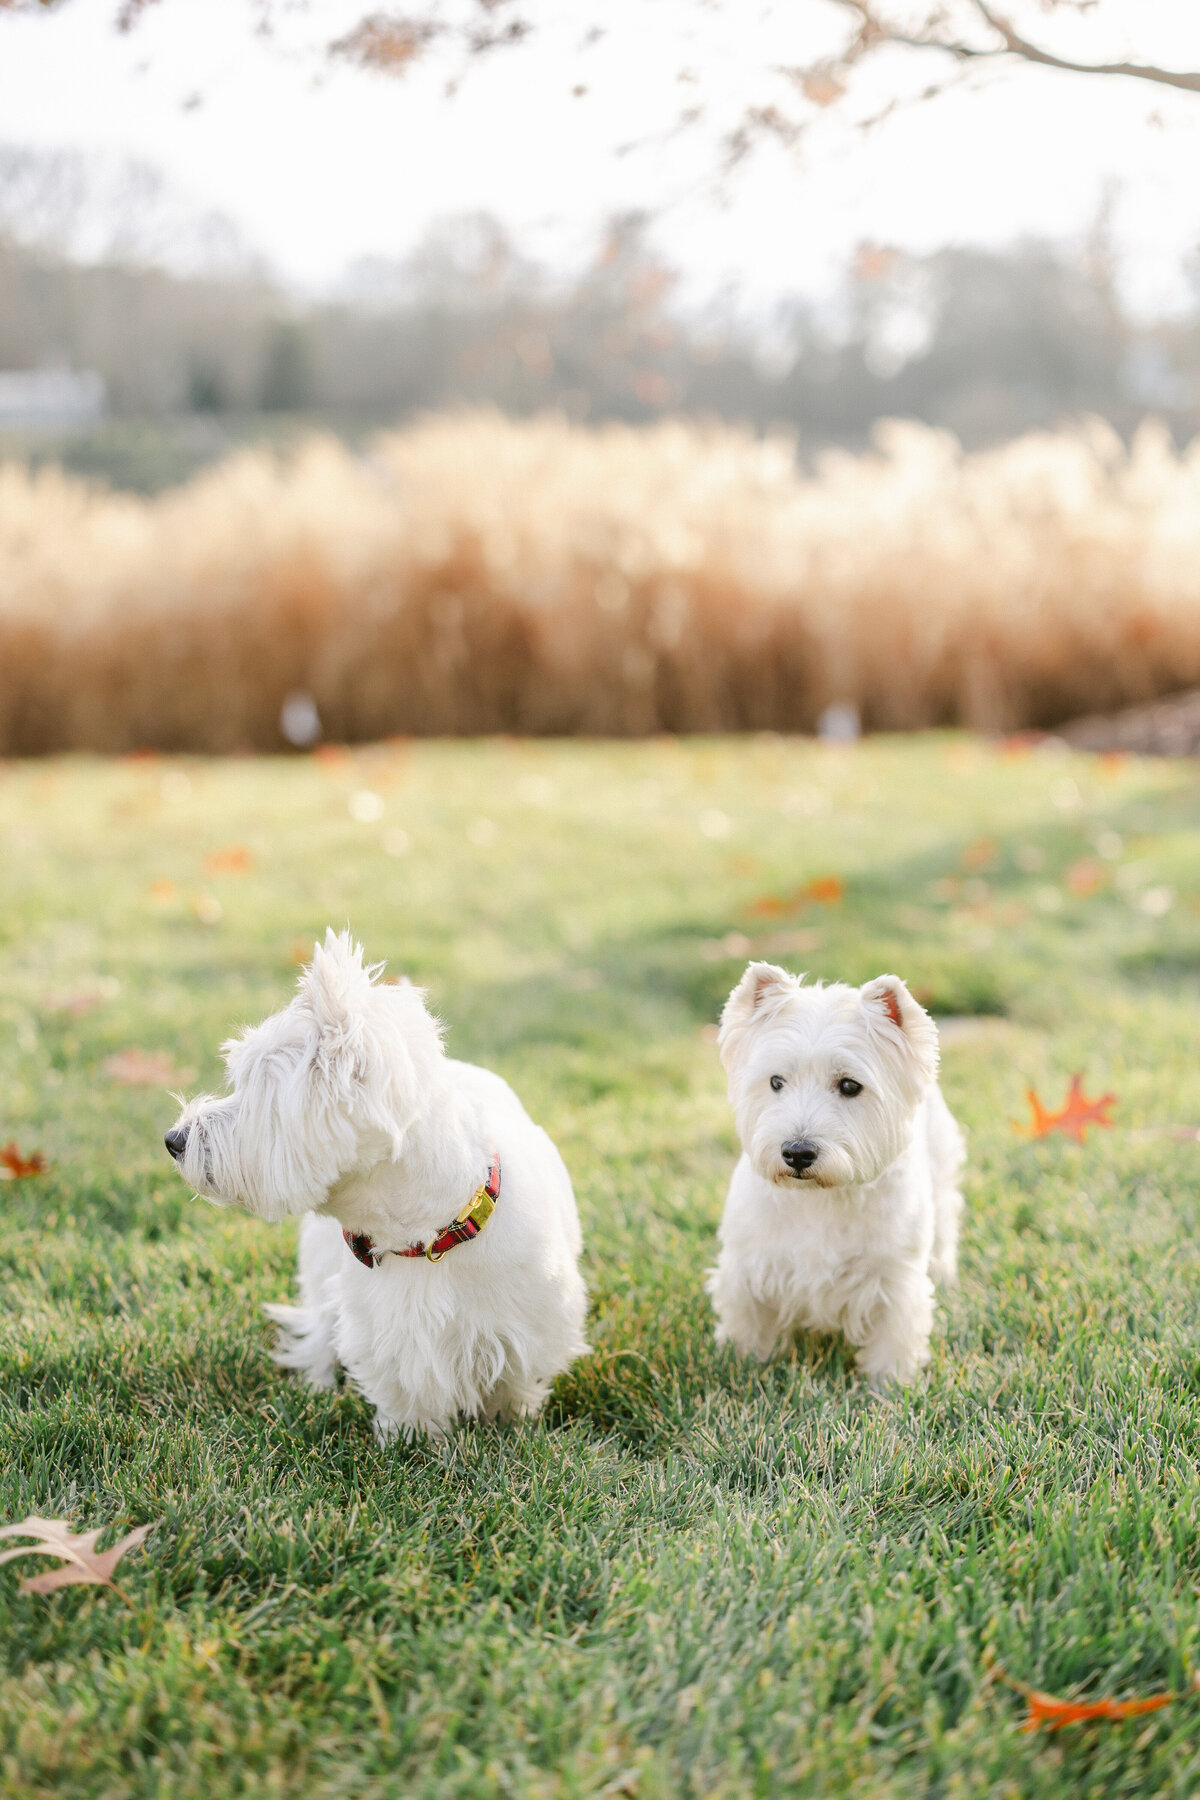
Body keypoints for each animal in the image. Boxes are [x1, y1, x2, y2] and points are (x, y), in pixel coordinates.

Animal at [162, 936, 586, 1440]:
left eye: (254, 1097)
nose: (173, 1140)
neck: (427, 1236)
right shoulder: (387, 1332)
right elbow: (404, 1390)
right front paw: (410, 1439)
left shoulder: (530, 1323)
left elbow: (514, 1382)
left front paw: (509, 1425)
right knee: (321, 1324)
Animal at [708, 964, 964, 1382]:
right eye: (776, 1082)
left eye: (849, 1085)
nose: (796, 1153)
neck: (821, 1196)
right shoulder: (749, 1267)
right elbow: (748, 1324)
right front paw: (743, 1364)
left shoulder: (894, 1279)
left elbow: (894, 1338)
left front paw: (890, 1384)